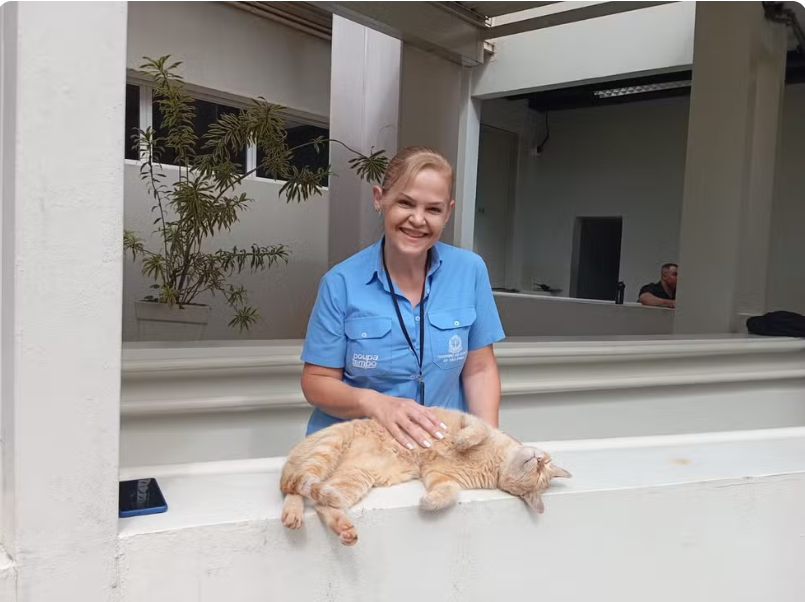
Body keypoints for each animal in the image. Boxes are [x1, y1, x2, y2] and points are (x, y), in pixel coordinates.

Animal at [280, 407, 571, 546]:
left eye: (540, 472)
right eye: (543, 464)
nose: (538, 459)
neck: (495, 462)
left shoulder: (439, 476)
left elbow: (449, 493)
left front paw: (428, 503)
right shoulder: (468, 419)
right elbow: (475, 432)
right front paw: (461, 441)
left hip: (352, 480)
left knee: (318, 501)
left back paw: (341, 529)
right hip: (328, 449)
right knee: (297, 485)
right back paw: (294, 513)